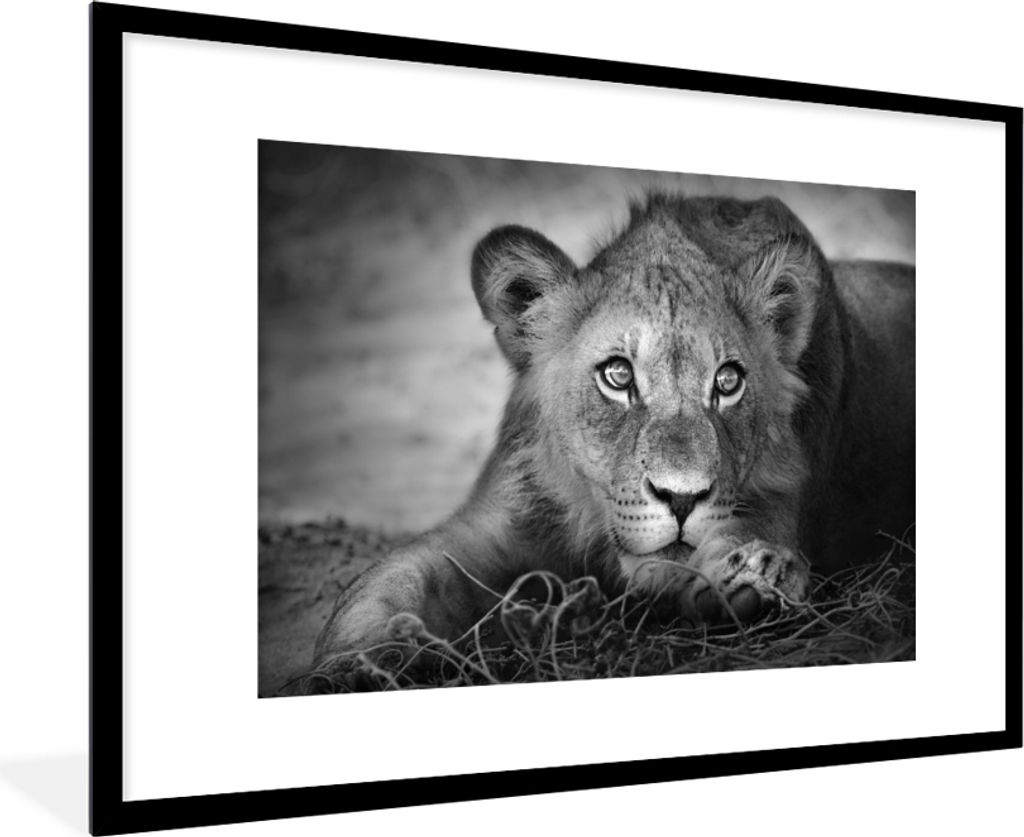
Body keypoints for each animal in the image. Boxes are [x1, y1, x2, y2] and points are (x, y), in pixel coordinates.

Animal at [313, 191, 915, 668]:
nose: (681, 498)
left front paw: (755, 581)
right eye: (618, 375)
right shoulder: (496, 522)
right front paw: (354, 664)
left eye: (727, 381)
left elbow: (748, 536)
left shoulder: (778, 499)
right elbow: (389, 580)